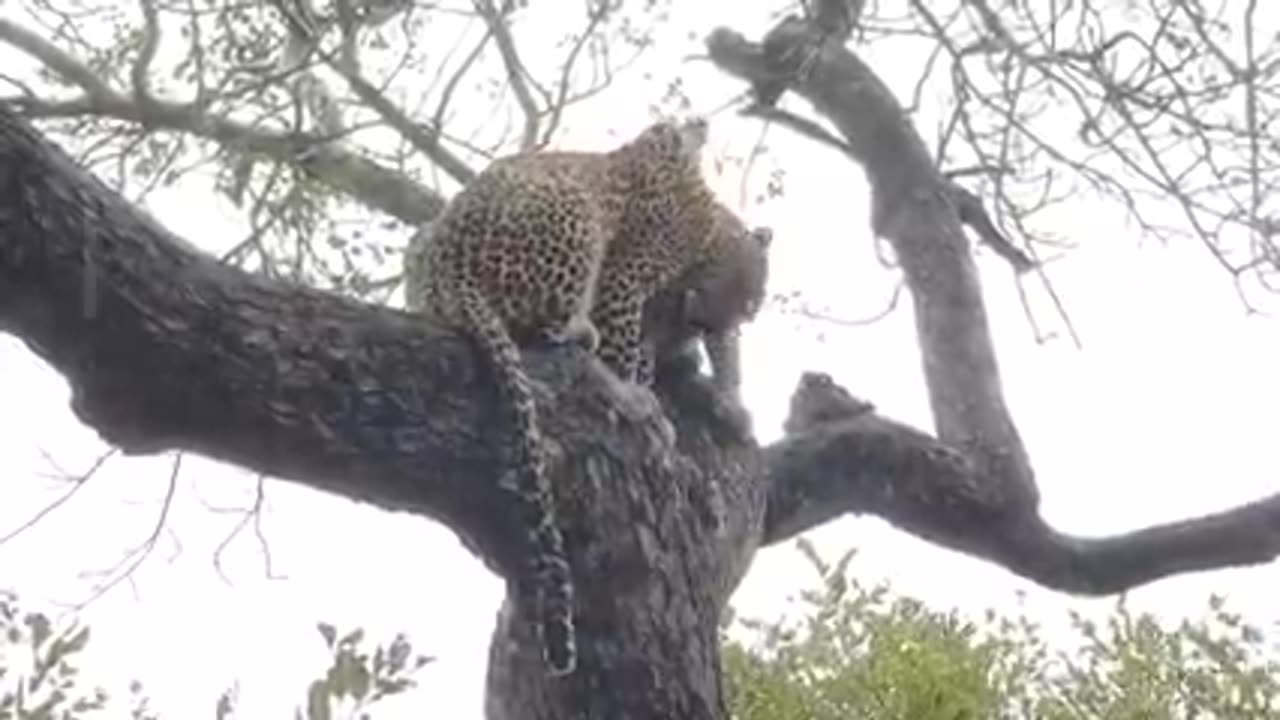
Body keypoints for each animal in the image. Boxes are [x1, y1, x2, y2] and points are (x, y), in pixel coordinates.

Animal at [399, 113, 721, 671]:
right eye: (676, 121)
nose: (698, 119)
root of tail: (450, 273)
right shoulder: (624, 277)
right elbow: (625, 347)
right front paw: (638, 400)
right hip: (573, 213)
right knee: (542, 330)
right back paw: (581, 340)